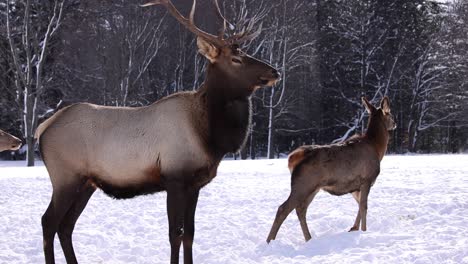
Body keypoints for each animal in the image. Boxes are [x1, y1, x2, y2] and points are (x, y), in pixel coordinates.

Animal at [34, 0, 280, 264]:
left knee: (66, 226)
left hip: (86, 183)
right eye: (236, 59)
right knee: (48, 222)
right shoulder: (175, 178)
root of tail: (43, 127)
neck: (208, 136)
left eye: (245, 52)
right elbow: (175, 234)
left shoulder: (195, 185)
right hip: (65, 177)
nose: (274, 72)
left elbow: (190, 234)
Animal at [266, 97, 394, 243]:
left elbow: (359, 206)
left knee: (301, 209)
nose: (395, 123)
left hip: (312, 188)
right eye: (390, 114)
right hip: (303, 184)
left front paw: (354, 228)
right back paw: (269, 241)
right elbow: (364, 207)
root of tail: (292, 158)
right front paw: (364, 230)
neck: (377, 148)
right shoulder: (366, 179)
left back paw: (308, 238)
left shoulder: (355, 187)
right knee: (284, 208)